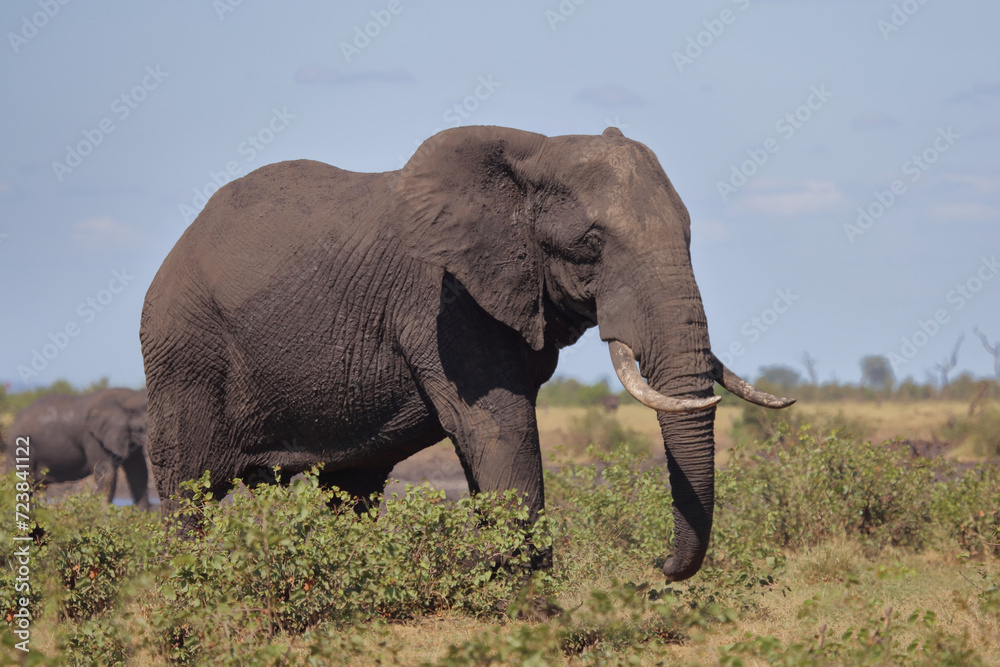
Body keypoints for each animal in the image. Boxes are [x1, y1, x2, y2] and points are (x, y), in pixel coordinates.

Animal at [5, 388, 150, 508]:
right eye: (142, 427)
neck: (130, 398)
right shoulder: (92, 438)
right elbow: (106, 473)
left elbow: (138, 470)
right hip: (20, 448)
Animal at [141, 126, 792, 584]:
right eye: (591, 244)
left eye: (689, 235)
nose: (658, 569)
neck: (532, 154)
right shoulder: (441, 301)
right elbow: (499, 428)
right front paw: (527, 597)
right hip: (183, 355)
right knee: (187, 490)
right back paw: (188, 582)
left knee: (351, 488)